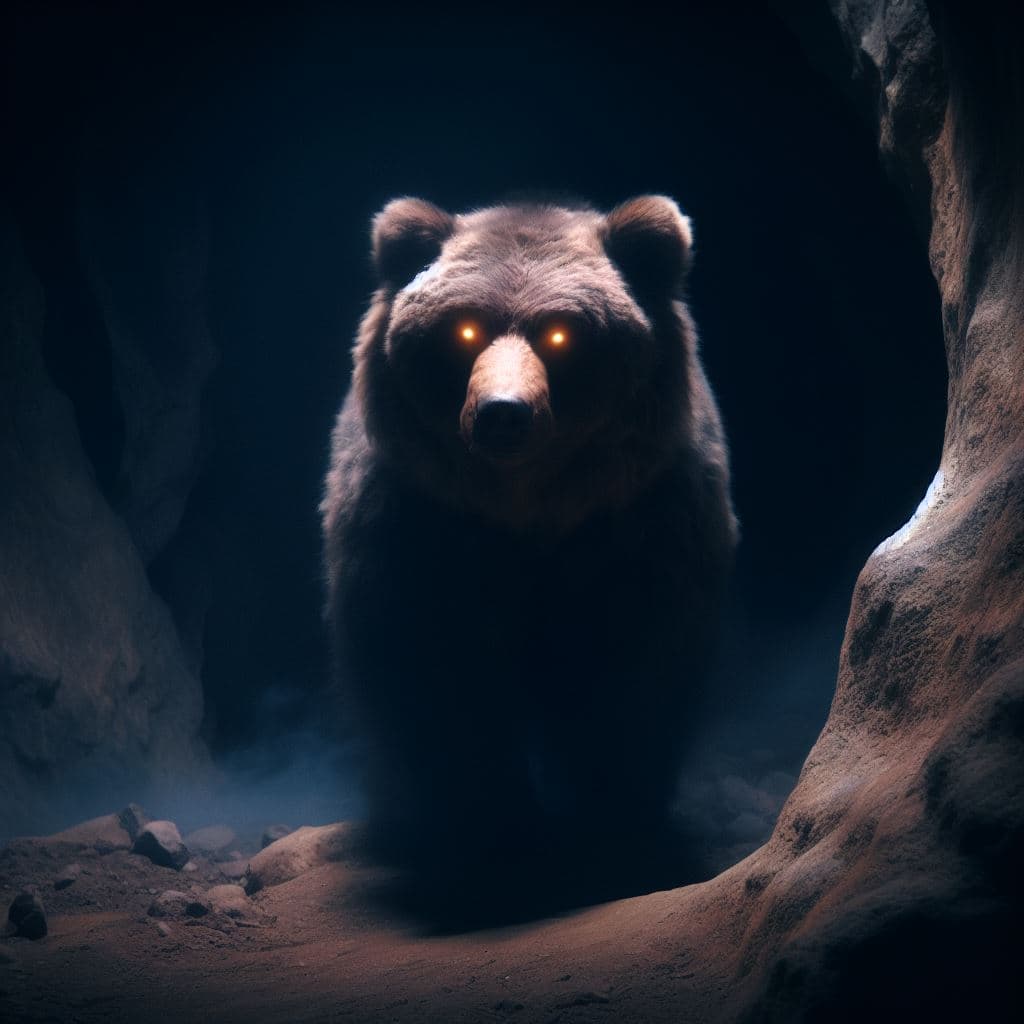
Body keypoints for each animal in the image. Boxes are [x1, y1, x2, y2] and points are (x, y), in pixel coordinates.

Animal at [321, 195, 738, 878]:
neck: (528, 509)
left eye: (561, 333)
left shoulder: (643, 520)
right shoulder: (420, 523)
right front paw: (493, 824)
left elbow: (636, 669)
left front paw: (616, 818)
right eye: (464, 330)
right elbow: (437, 670)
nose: (503, 413)